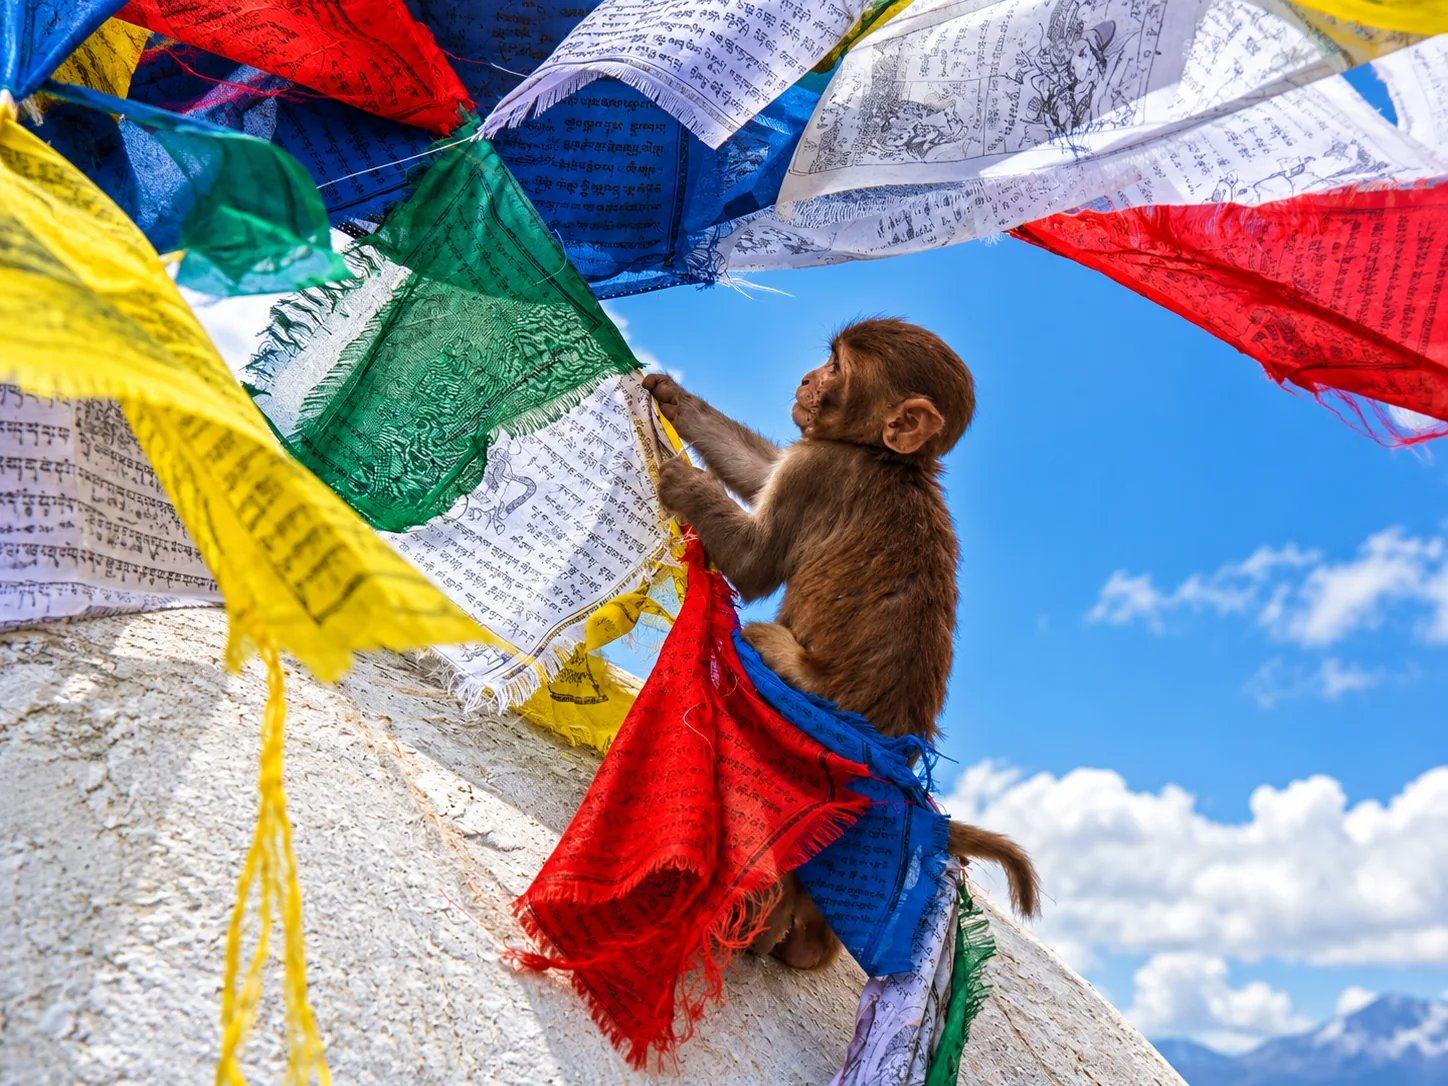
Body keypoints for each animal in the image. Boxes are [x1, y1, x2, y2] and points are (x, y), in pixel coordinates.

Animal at [643, 317, 1039, 972]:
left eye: (836, 368)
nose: (807, 379)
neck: (885, 458)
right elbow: (759, 471)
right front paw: (674, 399)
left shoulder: (820, 466)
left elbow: (754, 562)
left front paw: (682, 479)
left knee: (760, 645)